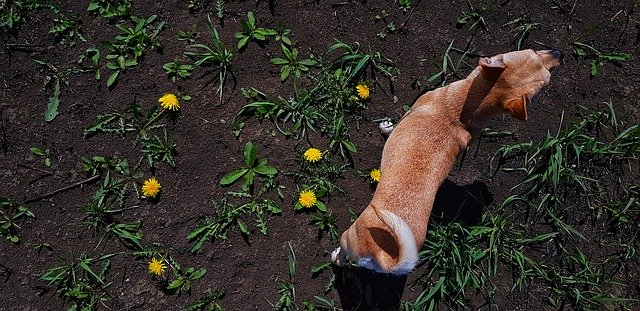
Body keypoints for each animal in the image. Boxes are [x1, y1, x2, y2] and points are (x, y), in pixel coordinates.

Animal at [332, 48, 564, 276]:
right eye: (534, 52)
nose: (560, 54)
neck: (463, 111)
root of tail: (386, 257)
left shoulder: (412, 110)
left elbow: (394, 126)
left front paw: (386, 128)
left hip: (349, 237)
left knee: (342, 254)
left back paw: (335, 256)